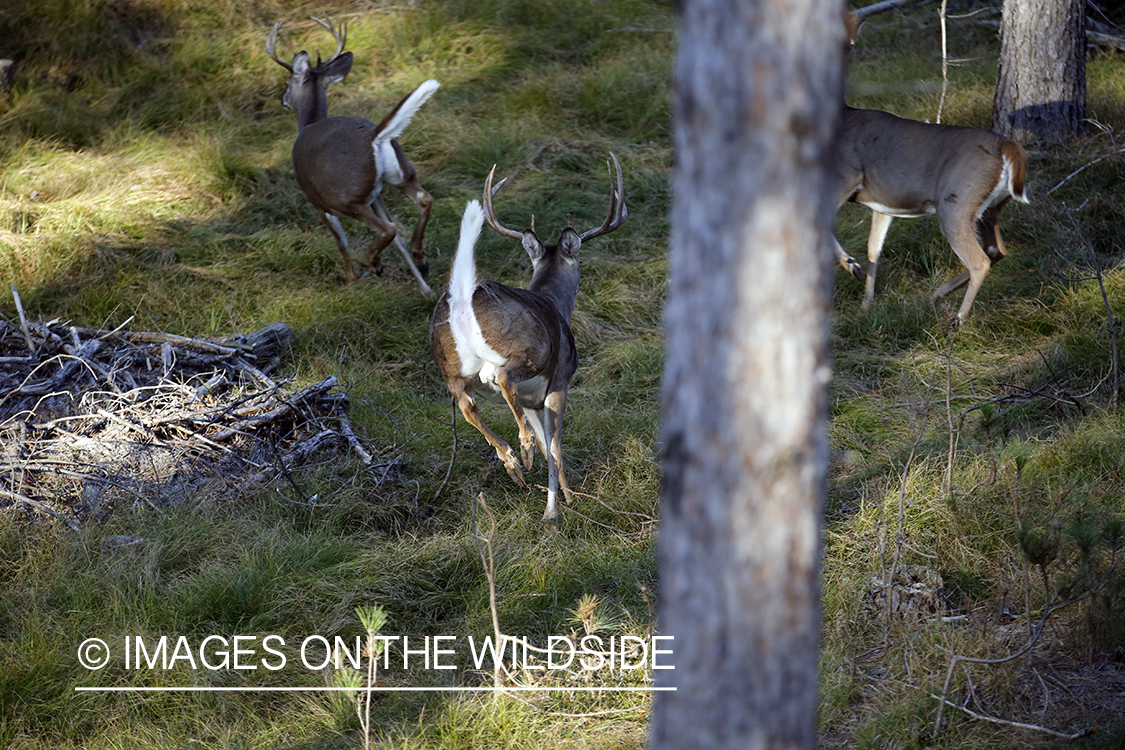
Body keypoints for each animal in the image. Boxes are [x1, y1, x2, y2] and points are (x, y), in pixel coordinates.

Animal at [265, 16, 436, 294]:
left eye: (288, 84)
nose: (283, 100)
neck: (308, 124)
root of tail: (374, 135)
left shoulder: (316, 199)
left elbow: (340, 240)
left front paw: (350, 279)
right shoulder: (376, 195)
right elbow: (398, 242)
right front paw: (425, 289)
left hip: (344, 195)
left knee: (387, 228)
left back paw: (374, 263)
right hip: (399, 175)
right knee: (422, 200)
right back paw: (420, 259)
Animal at [427, 155, 630, 521]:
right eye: (580, 264)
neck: (553, 303)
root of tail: (463, 294)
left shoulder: (532, 400)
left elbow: (550, 446)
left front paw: (566, 497)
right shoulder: (560, 381)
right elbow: (556, 448)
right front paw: (555, 510)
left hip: (451, 369)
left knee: (466, 404)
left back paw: (513, 463)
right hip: (530, 351)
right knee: (504, 377)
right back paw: (524, 451)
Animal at [837, 109, 1030, 323]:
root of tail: (1006, 145)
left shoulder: (845, 177)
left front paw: (852, 266)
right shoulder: (883, 204)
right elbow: (874, 248)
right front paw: (866, 304)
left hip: (954, 204)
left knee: (980, 261)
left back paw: (957, 319)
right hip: (990, 209)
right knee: (996, 250)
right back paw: (938, 293)